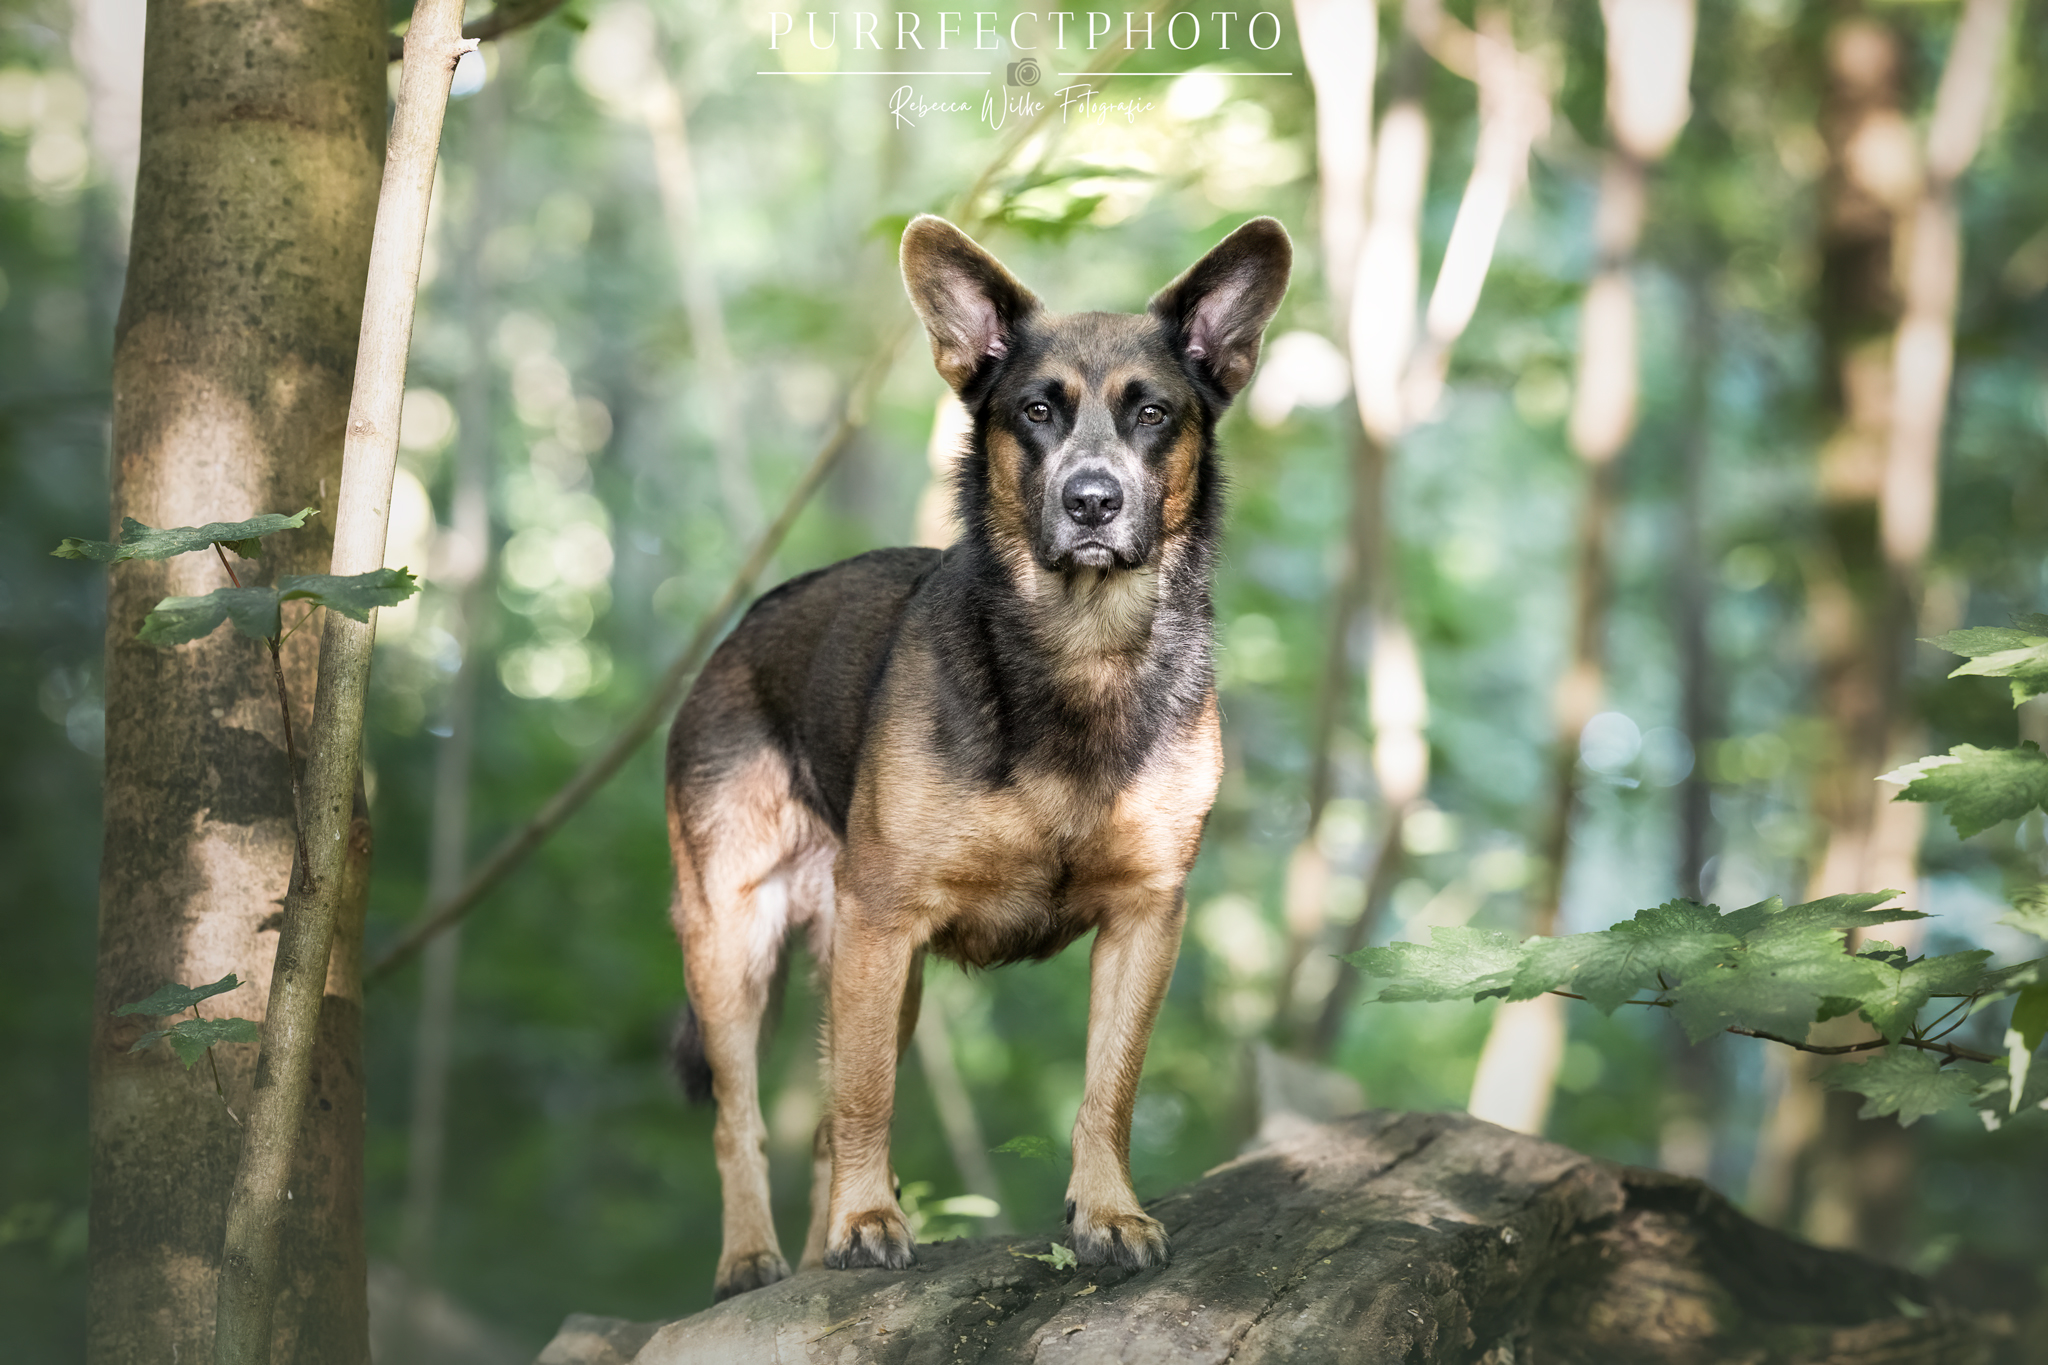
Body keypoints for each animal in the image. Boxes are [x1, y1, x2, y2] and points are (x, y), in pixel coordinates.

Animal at [664, 214, 1290, 1300]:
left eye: (1153, 412)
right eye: (1036, 410)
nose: (1090, 503)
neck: (1077, 654)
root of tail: (735, 639)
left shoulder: (1144, 920)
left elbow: (1107, 1089)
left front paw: (1107, 1211)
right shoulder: (881, 923)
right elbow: (864, 1100)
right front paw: (869, 1222)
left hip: (877, 972)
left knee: (820, 1125)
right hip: (738, 945)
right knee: (743, 1119)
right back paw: (756, 1256)